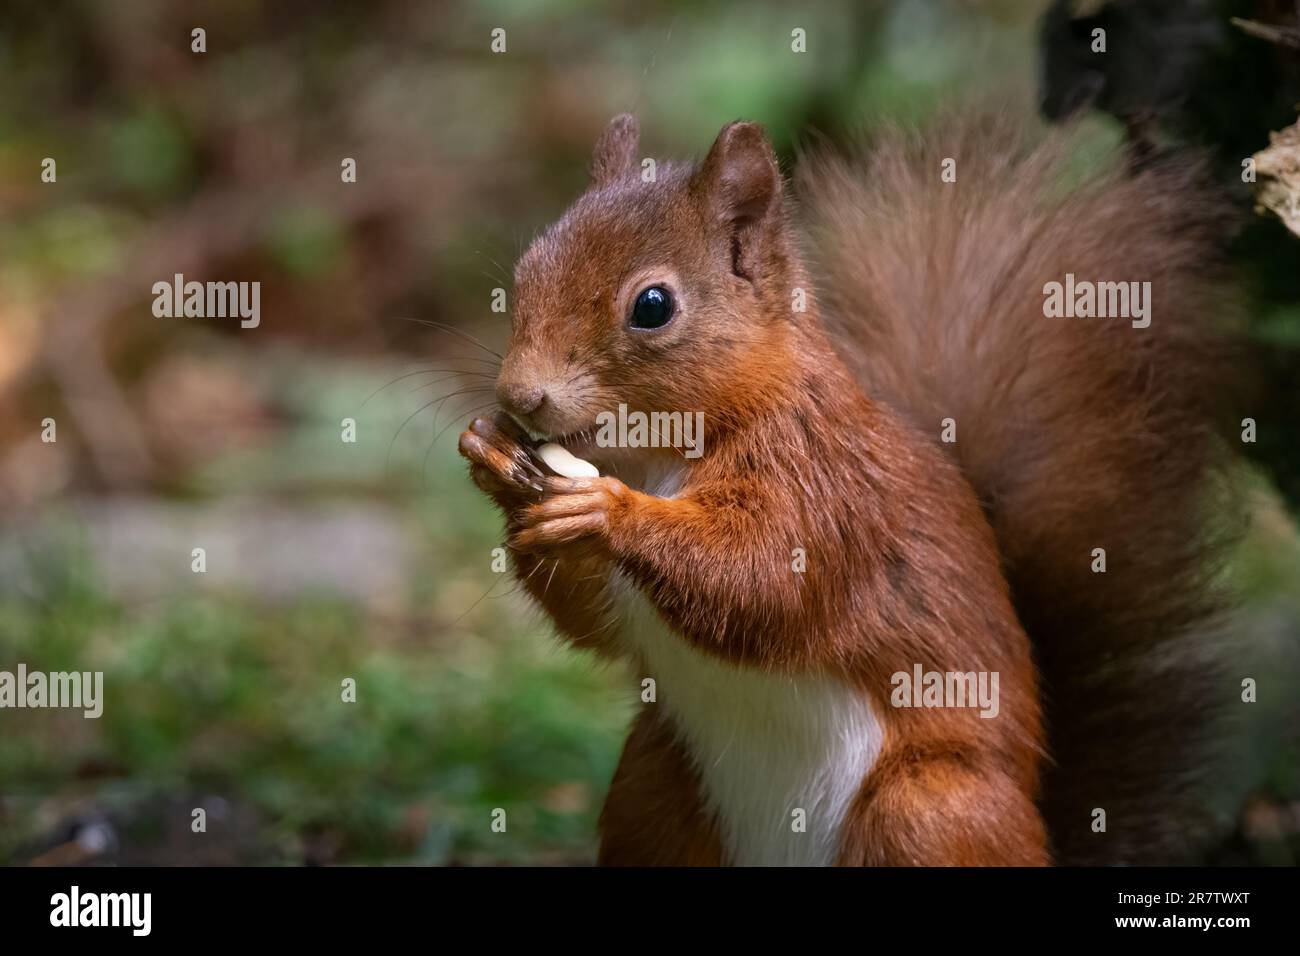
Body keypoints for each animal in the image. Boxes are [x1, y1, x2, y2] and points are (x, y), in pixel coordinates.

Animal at [460, 111, 1237, 868]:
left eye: (652, 306)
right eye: (527, 268)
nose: (519, 395)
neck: (660, 455)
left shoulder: (823, 481)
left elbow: (762, 578)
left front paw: (606, 509)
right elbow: (596, 622)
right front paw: (494, 461)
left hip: (926, 810)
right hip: (653, 792)